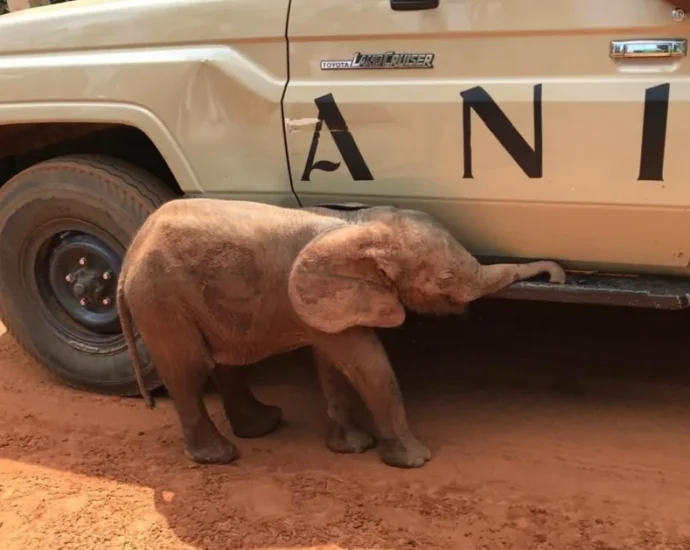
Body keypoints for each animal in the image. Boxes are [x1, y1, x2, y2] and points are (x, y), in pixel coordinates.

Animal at [116, 198, 566, 468]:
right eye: (446, 278)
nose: (558, 277)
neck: (356, 224)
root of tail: (127, 257)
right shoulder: (319, 299)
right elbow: (367, 362)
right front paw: (415, 462)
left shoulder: (329, 306)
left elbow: (333, 364)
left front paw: (351, 449)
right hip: (160, 297)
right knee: (189, 371)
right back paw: (220, 457)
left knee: (225, 363)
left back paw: (265, 426)